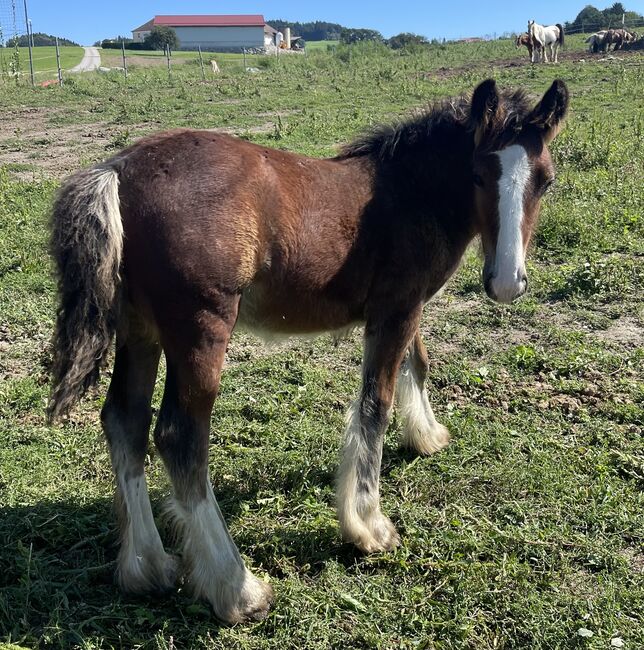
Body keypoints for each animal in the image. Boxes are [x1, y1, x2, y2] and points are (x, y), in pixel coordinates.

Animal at [46, 78, 568, 620]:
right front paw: (368, 527)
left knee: (124, 421)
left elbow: (418, 366)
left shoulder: (405, 306)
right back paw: (237, 588)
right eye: (478, 175)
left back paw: (146, 567)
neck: (408, 190)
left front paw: (427, 435)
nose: (506, 283)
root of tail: (118, 170)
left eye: (546, 181)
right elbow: (375, 405)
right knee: (179, 437)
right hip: (200, 329)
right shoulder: (397, 310)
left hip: (140, 330)